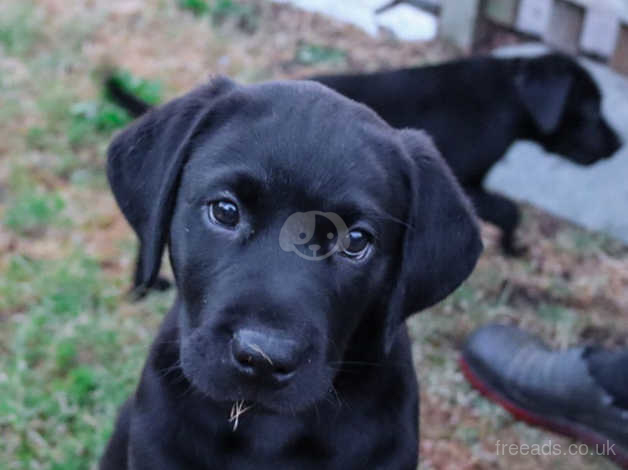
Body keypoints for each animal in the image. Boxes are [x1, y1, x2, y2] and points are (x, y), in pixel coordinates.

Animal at [312, 53, 620, 255]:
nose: (619, 143)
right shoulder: (465, 187)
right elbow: (510, 210)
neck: (508, 97)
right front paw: (512, 247)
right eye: (592, 110)